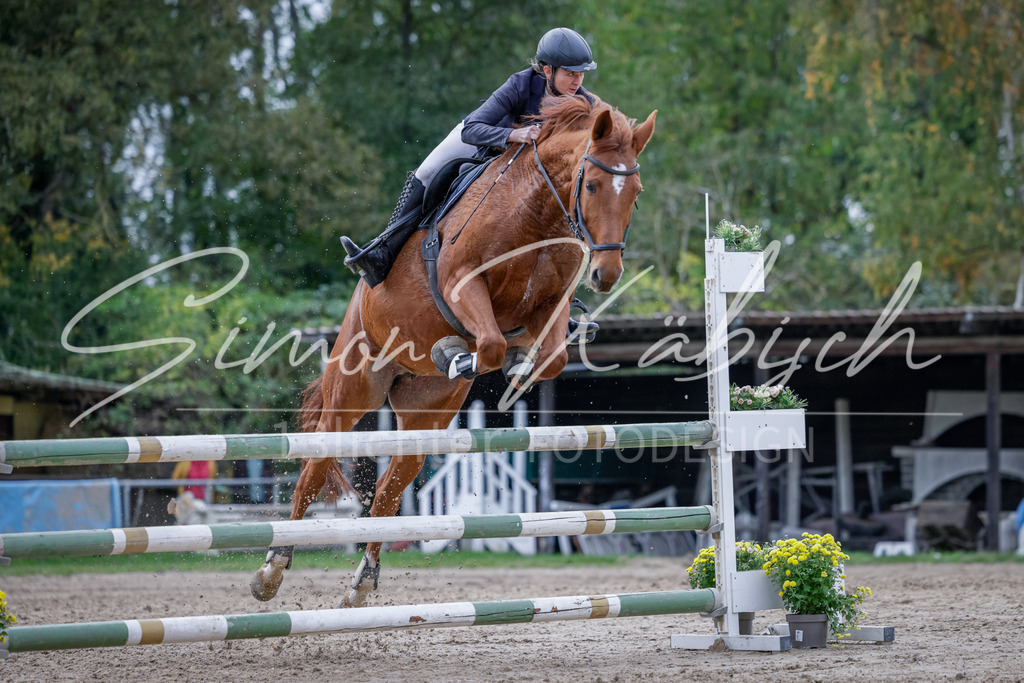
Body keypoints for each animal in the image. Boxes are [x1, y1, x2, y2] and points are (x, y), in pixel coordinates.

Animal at [251, 95, 656, 607]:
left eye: (636, 192)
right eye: (594, 184)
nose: (606, 274)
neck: (537, 213)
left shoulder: (551, 305)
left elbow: (551, 356)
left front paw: (516, 364)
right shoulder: (462, 283)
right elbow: (490, 342)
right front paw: (458, 354)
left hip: (424, 414)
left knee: (389, 489)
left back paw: (363, 582)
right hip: (354, 386)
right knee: (315, 466)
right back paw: (272, 569)